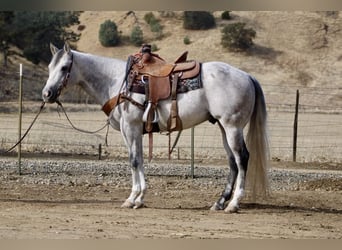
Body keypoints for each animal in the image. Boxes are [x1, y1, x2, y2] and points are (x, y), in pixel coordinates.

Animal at [42, 43, 270, 213]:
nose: (47, 94)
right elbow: (139, 159)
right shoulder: (131, 131)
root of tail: (247, 76)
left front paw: (132, 198)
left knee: (242, 158)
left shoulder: (131, 127)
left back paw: (234, 204)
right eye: (49, 67)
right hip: (224, 127)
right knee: (232, 162)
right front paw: (139, 198)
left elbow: (134, 161)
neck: (117, 80)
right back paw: (220, 202)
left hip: (233, 127)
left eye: (64, 68)